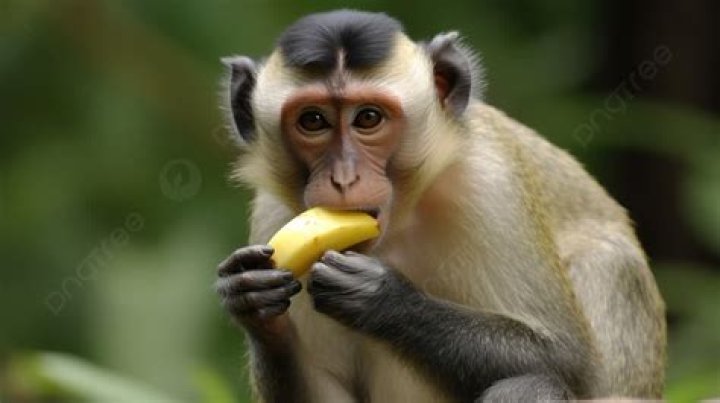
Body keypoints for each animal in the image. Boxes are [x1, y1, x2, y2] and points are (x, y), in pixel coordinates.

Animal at [215, 9, 666, 403]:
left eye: (368, 118)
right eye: (312, 121)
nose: (344, 178)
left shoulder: (492, 183)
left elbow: (571, 361)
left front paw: (385, 299)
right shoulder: (274, 215)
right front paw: (254, 303)